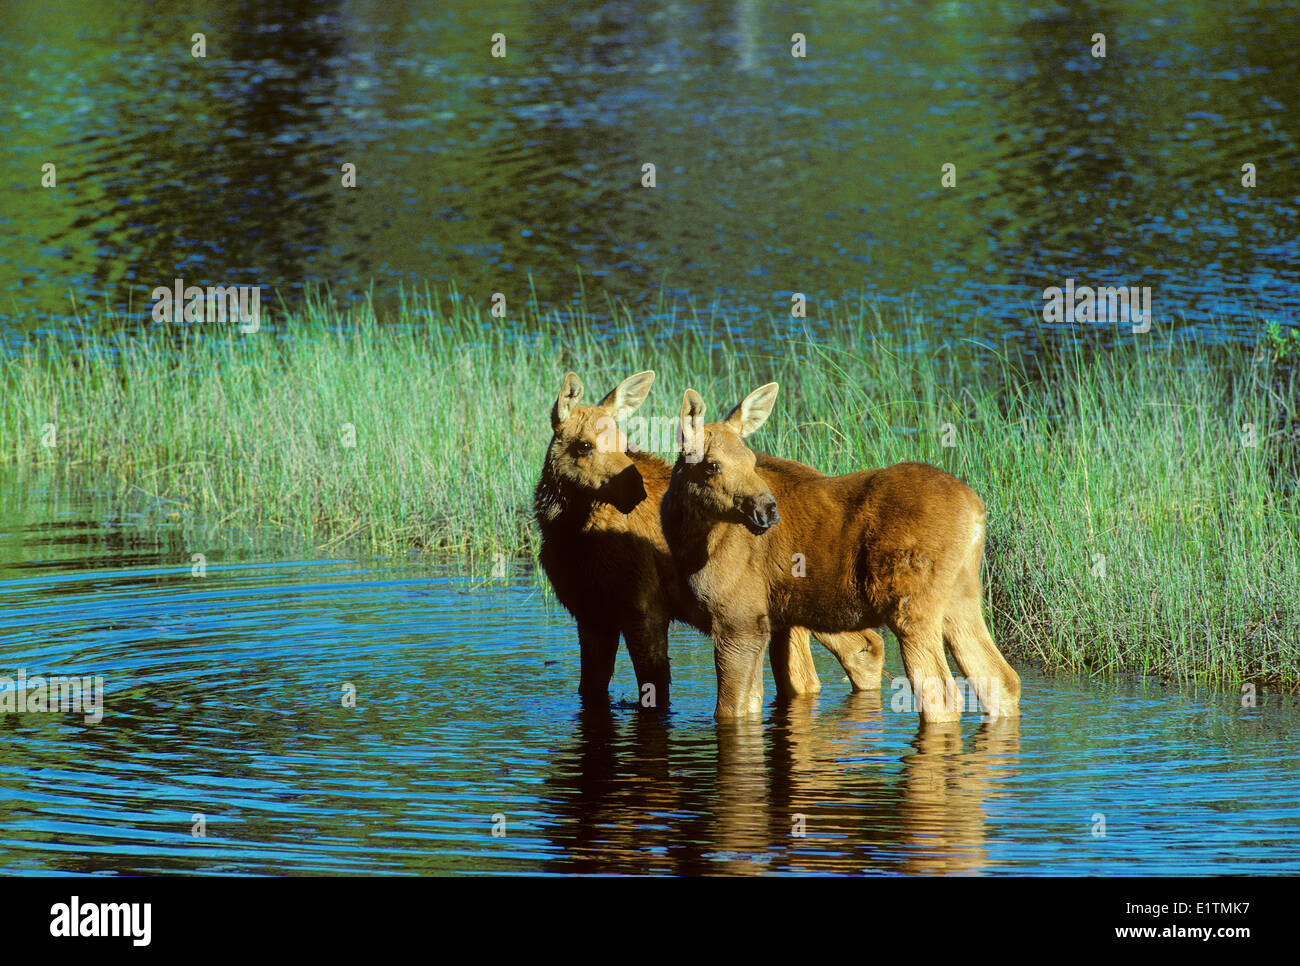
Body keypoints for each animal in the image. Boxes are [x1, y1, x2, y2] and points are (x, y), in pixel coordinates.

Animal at [530, 369, 883, 712]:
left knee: (855, 650)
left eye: (623, 442)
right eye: (584, 445)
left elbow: (656, 691)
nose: (634, 489)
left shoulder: (644, 606)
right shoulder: (589, 613)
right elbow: (590, 690)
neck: (570, 535)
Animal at [665, 382, 1019, 722]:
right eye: (712, 465)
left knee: (942, 696)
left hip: (912, 607)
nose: (766, 510)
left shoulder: (740, 620)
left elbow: (731, 708)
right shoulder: (767, 622)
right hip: (962, 597)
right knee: (1000, 678)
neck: (686, 540)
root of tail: (975, 509)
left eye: (752, 462)